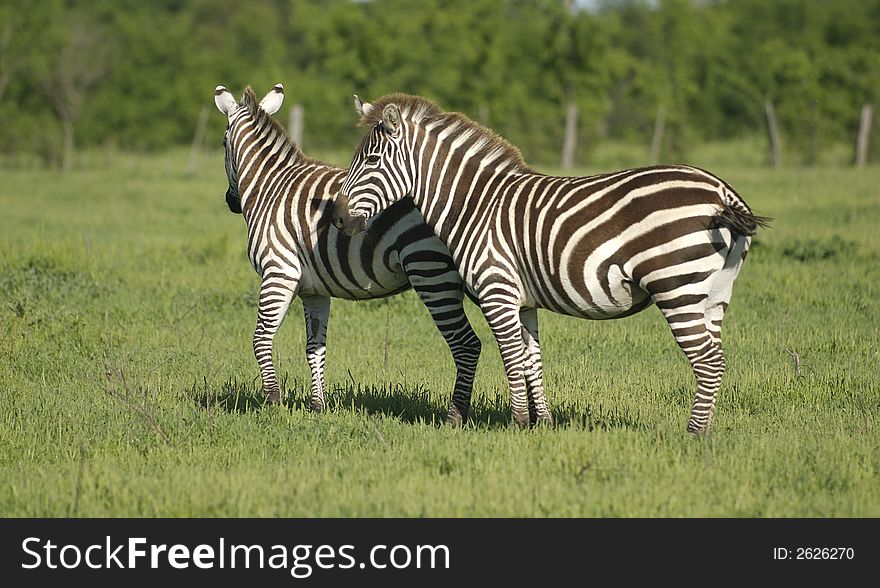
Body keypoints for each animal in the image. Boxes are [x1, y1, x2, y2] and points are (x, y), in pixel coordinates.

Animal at [213, 85, 482, 420]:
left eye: (223, 142)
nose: (231, 201)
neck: (270, 187)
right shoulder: (314, 291)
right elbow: (315, 347)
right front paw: (318, 405)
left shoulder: (279, 272)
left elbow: (261, 337)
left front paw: (273, 400)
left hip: (431, 272)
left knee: (467, 344)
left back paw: (456, 415)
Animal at [334, 94, 768, 434]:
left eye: (371, 161)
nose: (338, 219)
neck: (475, 205)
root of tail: (722, 192)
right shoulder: (524, 300)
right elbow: (532, 360)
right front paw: (541, 424)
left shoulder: (497, 291)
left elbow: (511, 358)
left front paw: (516, 424)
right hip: (714, 292)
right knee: (717, 359)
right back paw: (705, 429)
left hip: (678, 286)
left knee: (707, 360)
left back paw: (694, 435)